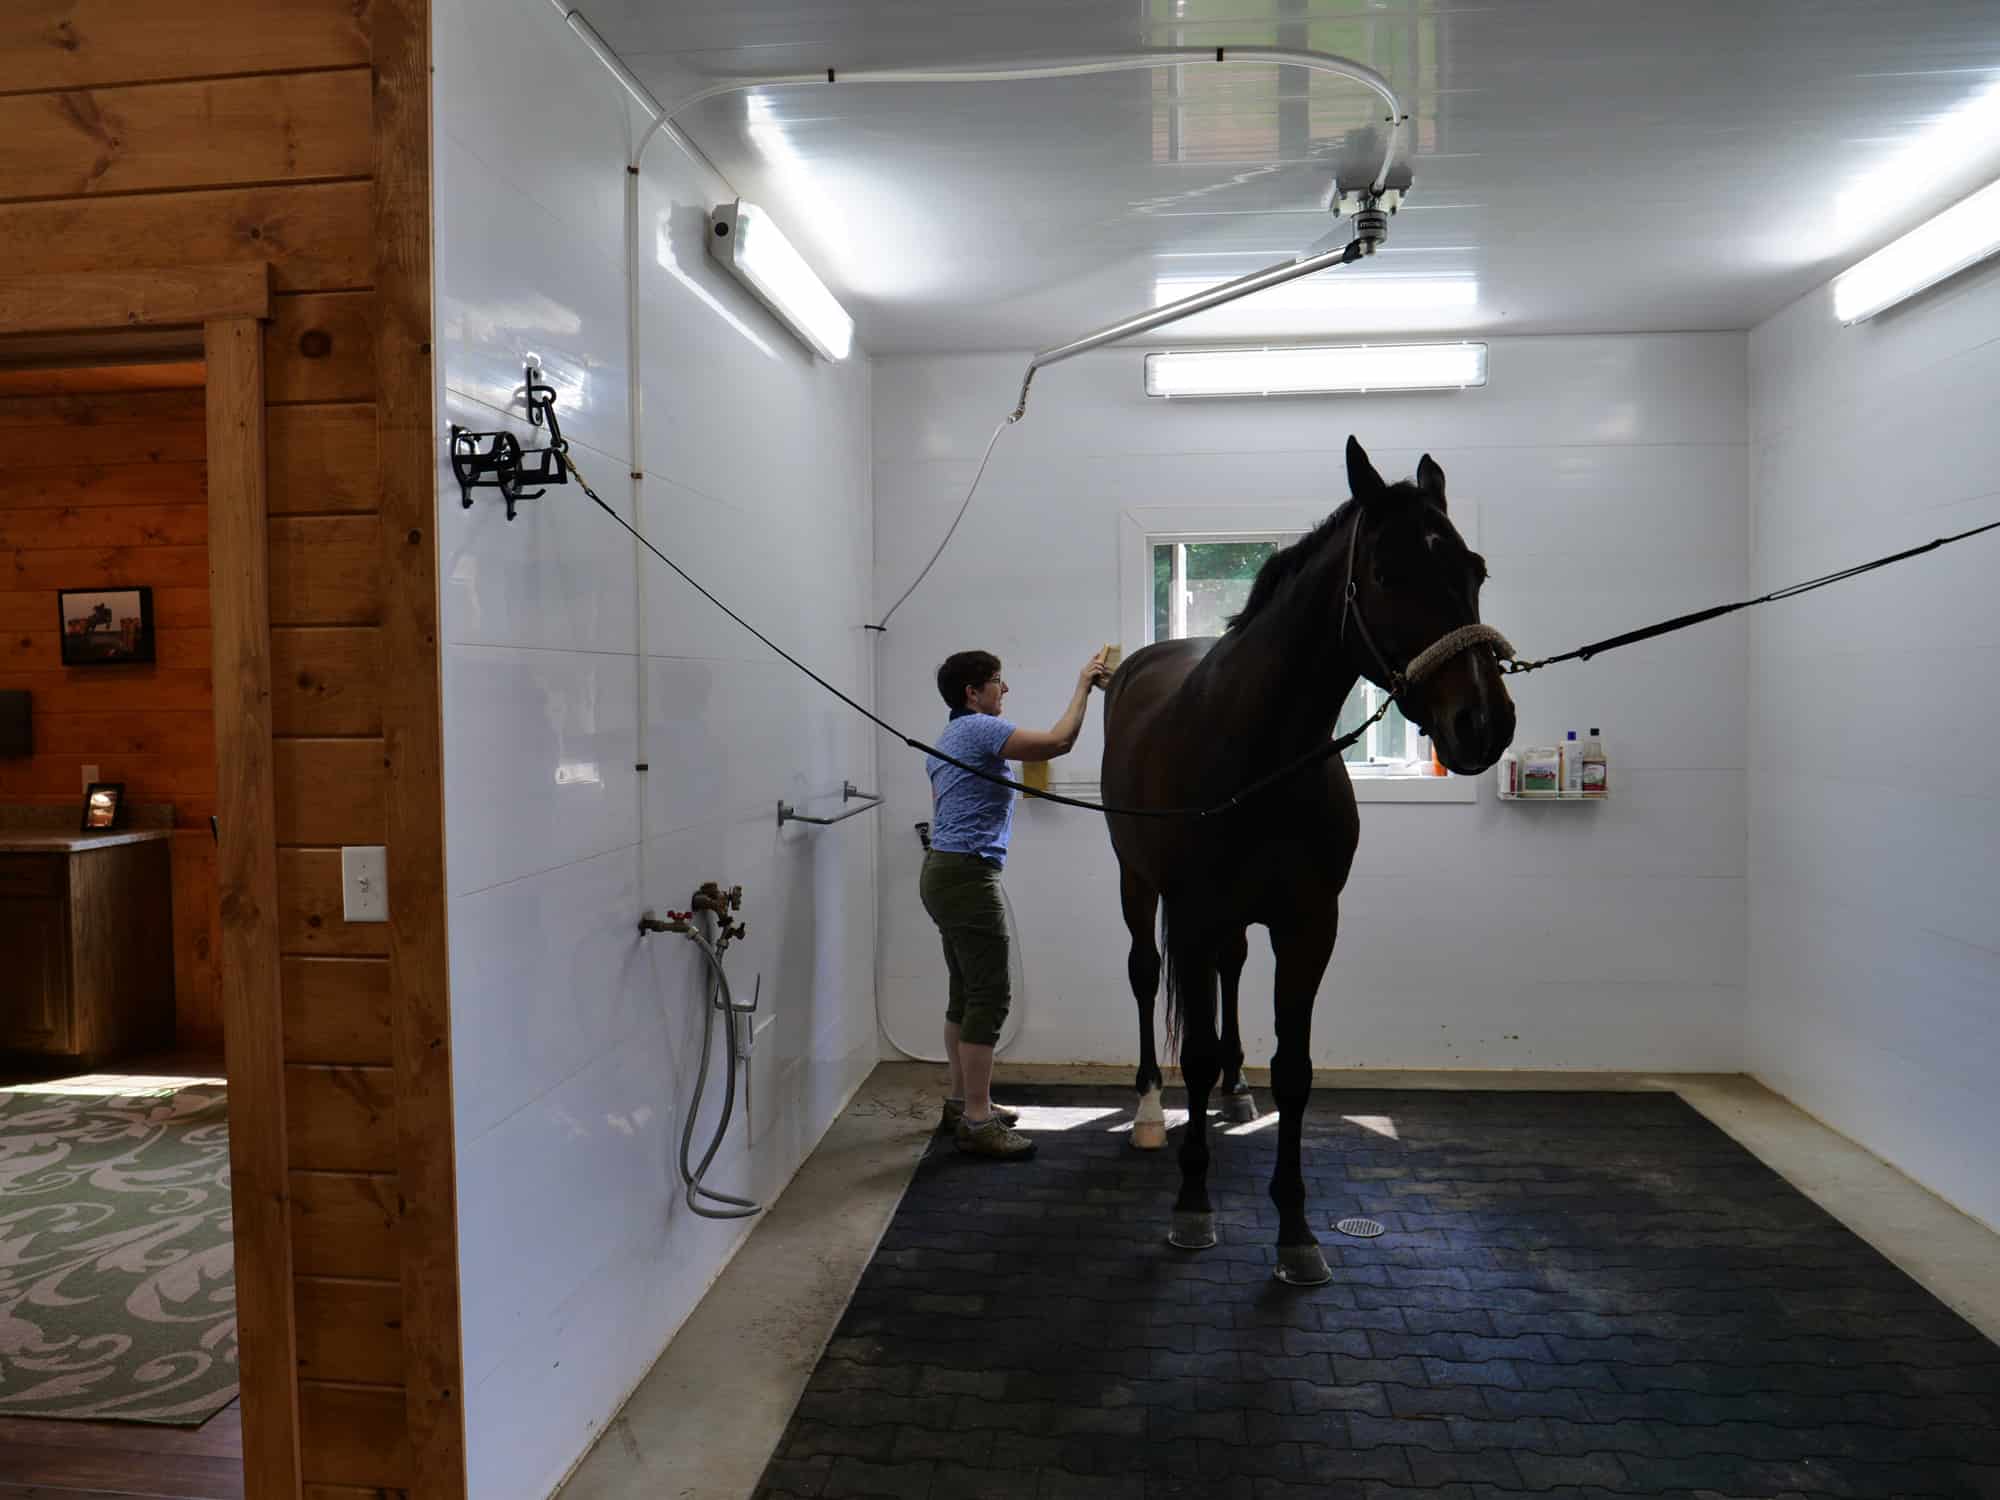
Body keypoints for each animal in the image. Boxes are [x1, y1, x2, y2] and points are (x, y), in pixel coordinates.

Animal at [1096, 438, 1512, 1296]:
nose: (1483, 723)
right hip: (1137, 884)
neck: (1259, 752)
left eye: (1474, 569)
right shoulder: (1194, 912)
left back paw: (1236, 1088)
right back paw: (1151, 1111)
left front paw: (1295, 1229)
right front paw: (1193, 1204)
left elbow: (1295, 1070)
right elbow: (1191, 1049)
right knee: (1147, 976)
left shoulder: (1309, 924)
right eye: (1385, 573)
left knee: (1229, 975)